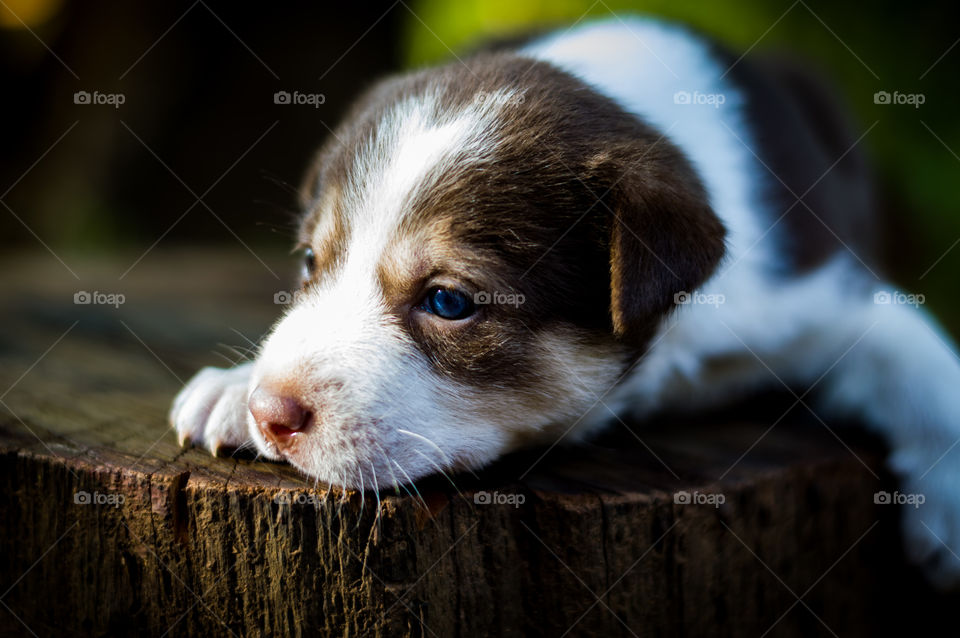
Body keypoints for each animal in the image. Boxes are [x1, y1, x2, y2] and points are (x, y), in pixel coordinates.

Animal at [171, 16, 960, 584]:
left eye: (449, 302)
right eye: (311, 260)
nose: (272, 413)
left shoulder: (826, 293)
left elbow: (922, 364)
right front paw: (231, 390)